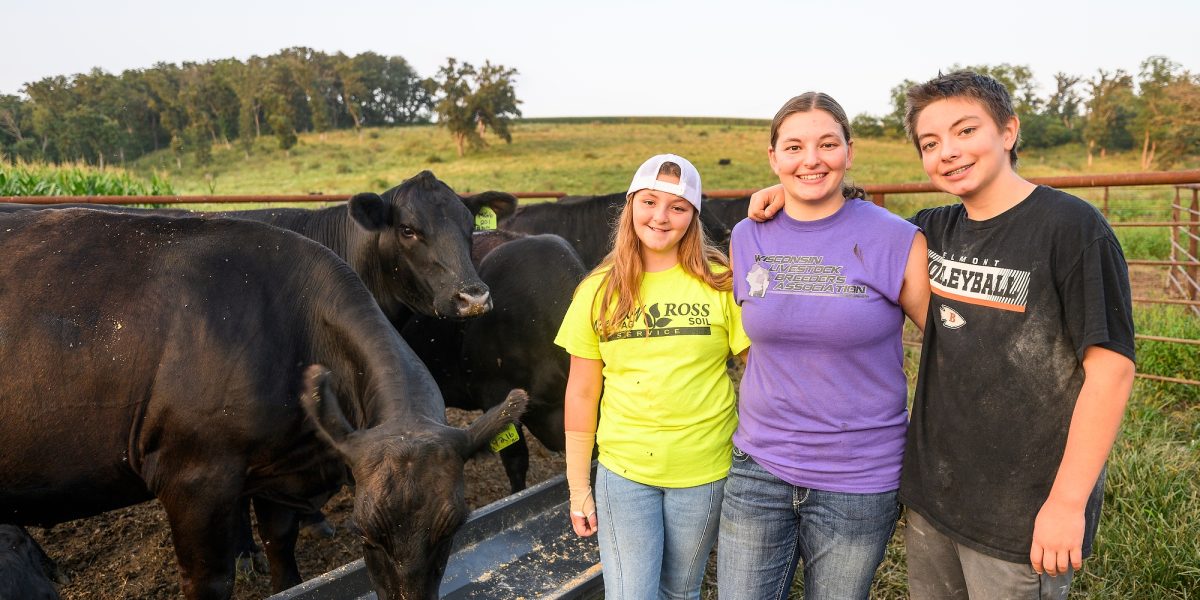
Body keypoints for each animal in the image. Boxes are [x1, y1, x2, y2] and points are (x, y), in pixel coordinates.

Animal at [0, 207, 525, 600]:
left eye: (453, 528)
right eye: (363, 531)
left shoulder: (277, 470)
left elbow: (281, 549)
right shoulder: (193, 478)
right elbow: (210, 580)